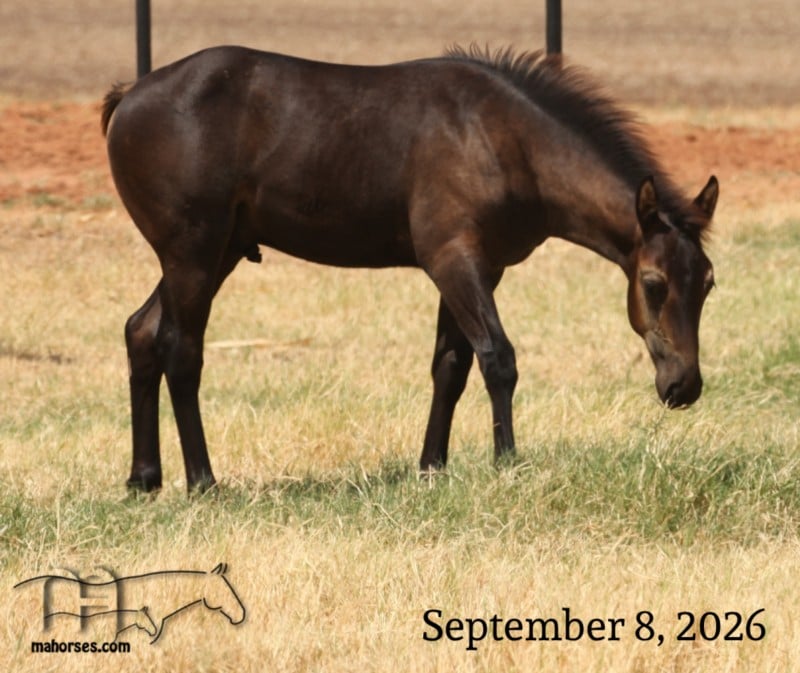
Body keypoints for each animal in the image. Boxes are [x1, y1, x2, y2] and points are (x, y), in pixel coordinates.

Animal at [101, 45, 718, 493]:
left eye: (709, 285)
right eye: (654, 284)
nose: (683, 385)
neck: (502, 138)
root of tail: (130, 94)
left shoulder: (477, 268)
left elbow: (451, 365)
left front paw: (432, 467)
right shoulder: (453, 260)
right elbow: (498, 359)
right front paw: (507, 462)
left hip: (217, 252)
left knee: (141, 331)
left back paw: (144, 478)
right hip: (193, 252)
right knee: (181, 349)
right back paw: (202, 481)